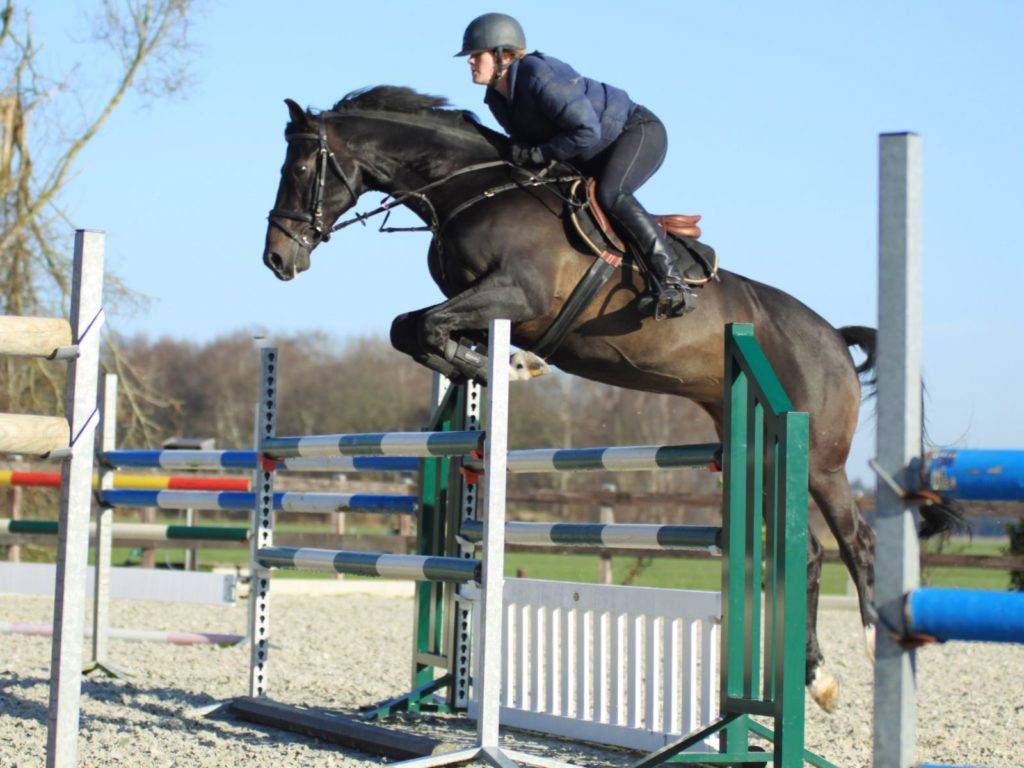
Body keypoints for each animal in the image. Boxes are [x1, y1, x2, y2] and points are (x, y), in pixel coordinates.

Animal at [262, 86, 957, 712]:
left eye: (300, 171)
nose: (277, 258)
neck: (469, 190)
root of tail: (835, 337)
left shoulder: (516, 295)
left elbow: (423, 326)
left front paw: (515, 365)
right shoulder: (478, 305)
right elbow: (411, 329)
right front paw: (496, 368)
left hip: (820, 462)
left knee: (854, 544)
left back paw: (851, 663)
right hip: (759, 453)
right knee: (807, 552)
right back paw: (813, 675)